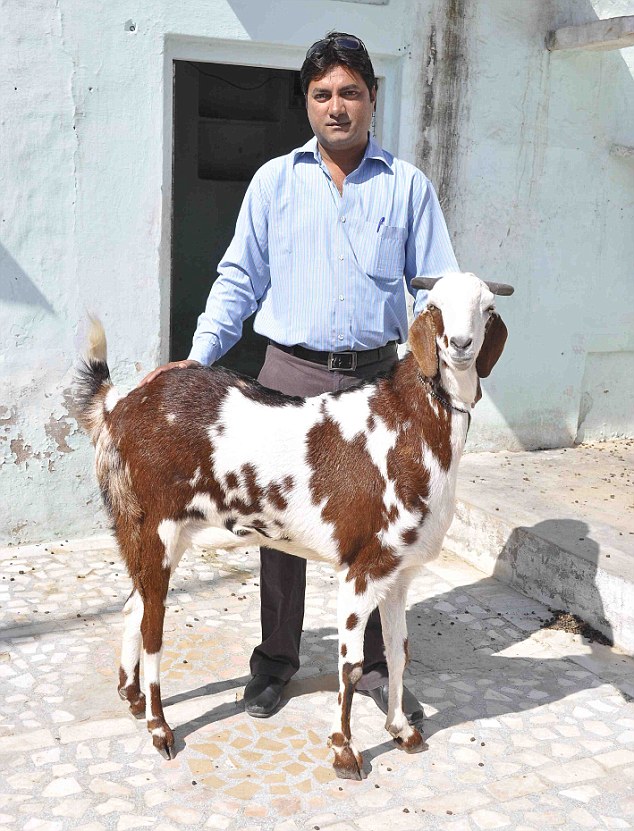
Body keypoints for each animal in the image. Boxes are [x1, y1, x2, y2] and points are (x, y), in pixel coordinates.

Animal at [74, 272, 512, 780]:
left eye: (487, 309)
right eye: (435, 307)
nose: (460, 345)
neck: (410, 424)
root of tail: (121, 406)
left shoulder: (399, 573)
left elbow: (398, 650)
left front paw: (401, 729)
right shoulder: (361, 568)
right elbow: (352, 665)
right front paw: (344, 751)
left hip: (163, 531)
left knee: (135, 605)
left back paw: (132, 697)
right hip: (155, 526)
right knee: (153, 629)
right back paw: (159, 729)